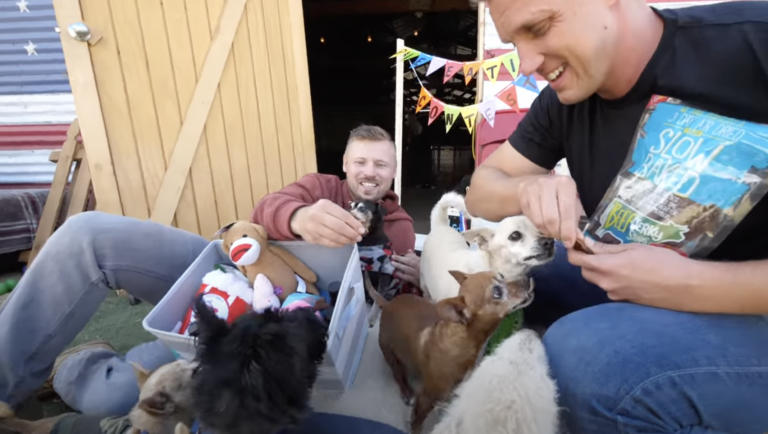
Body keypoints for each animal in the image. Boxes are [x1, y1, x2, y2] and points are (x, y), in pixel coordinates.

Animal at [364, 270, 536, 432]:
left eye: (502, 275)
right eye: (497, 293)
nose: (526, 279)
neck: (464, 341)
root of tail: (387, 303)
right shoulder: (425, 398)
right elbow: (418, 421)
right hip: (389, 352)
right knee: (397, 372)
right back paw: (405, 390)